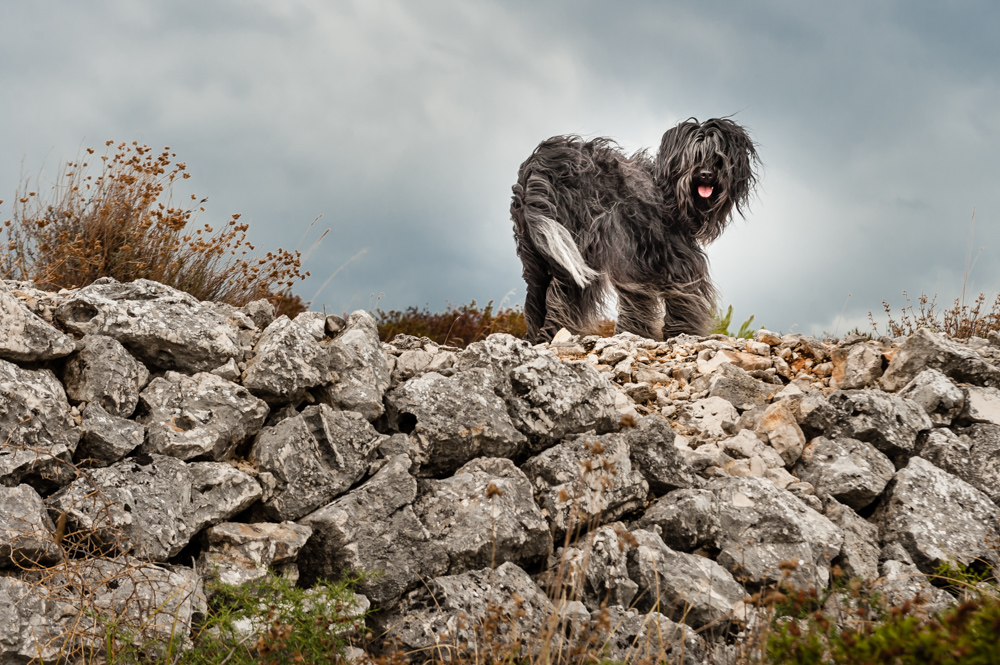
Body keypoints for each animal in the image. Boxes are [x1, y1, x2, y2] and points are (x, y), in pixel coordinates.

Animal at [512, 117, 752, 342]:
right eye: (694, 156)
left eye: (718, 158)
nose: (706, 174)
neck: (668, 192)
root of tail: (538, 166)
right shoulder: (678, 262)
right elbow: (683, 298)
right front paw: (683, 333)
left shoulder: (635, 267)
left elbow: (638, 302)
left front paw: (635, 333)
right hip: (574, 250)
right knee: (563, 294)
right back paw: (555, 334)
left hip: (537, 256)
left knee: (536, 297)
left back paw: (536, 337)